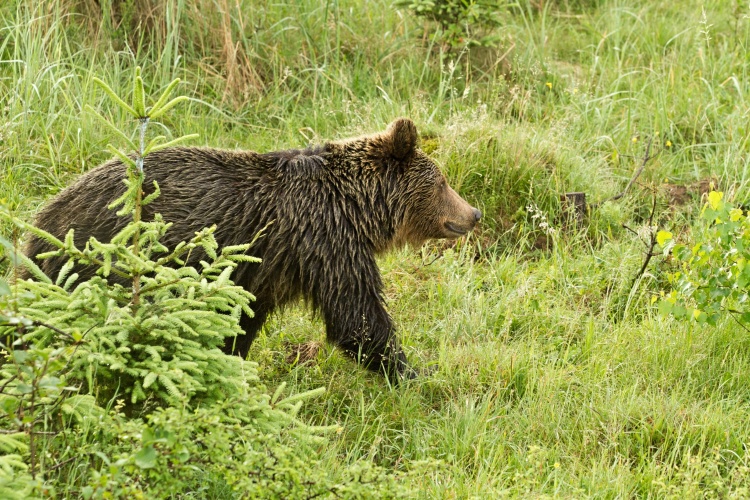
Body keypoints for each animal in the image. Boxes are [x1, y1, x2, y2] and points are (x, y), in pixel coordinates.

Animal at [26, 119, 482, 380]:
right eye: (442, 181)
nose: (474, 213)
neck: (356, 207)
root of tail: (38, 221)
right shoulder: (327, 242)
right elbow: (357, 318)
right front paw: (414, 371)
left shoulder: (262, 270)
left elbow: (241, 323)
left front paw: (233, 365)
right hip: (103, 259)